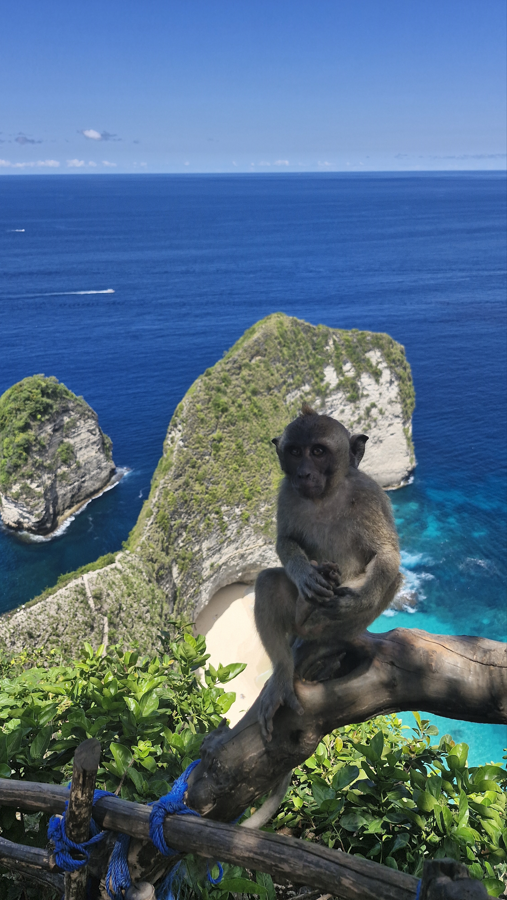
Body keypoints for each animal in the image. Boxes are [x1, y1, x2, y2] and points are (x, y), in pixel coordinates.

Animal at [254, 403, 402, 740]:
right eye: (295, 451)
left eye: (318, 451)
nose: (303, 472)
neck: (325, 497)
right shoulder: (287, 492)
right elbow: (286, 540)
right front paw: (305, 575)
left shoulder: (370, 495)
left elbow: (387, 555)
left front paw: (355, 601)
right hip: (295, 627)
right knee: (268, 582)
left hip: (336, 629)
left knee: (390, 580)